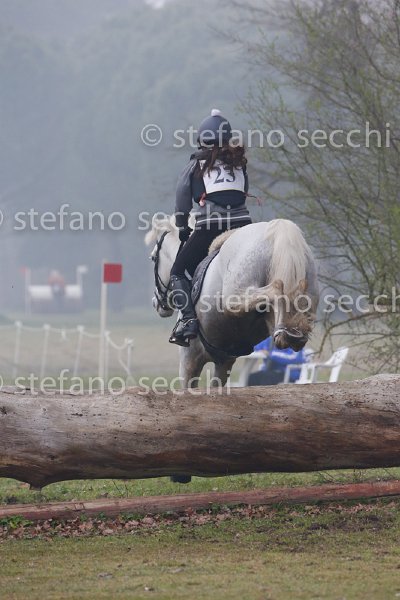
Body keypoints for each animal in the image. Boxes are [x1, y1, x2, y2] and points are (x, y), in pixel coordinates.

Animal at [146, 215, 319, 389]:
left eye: (153, 257)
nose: (155, 303)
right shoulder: (225, 361)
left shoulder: (189, 358)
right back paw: (292, 334)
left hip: (235, 296)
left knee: (276, 288)